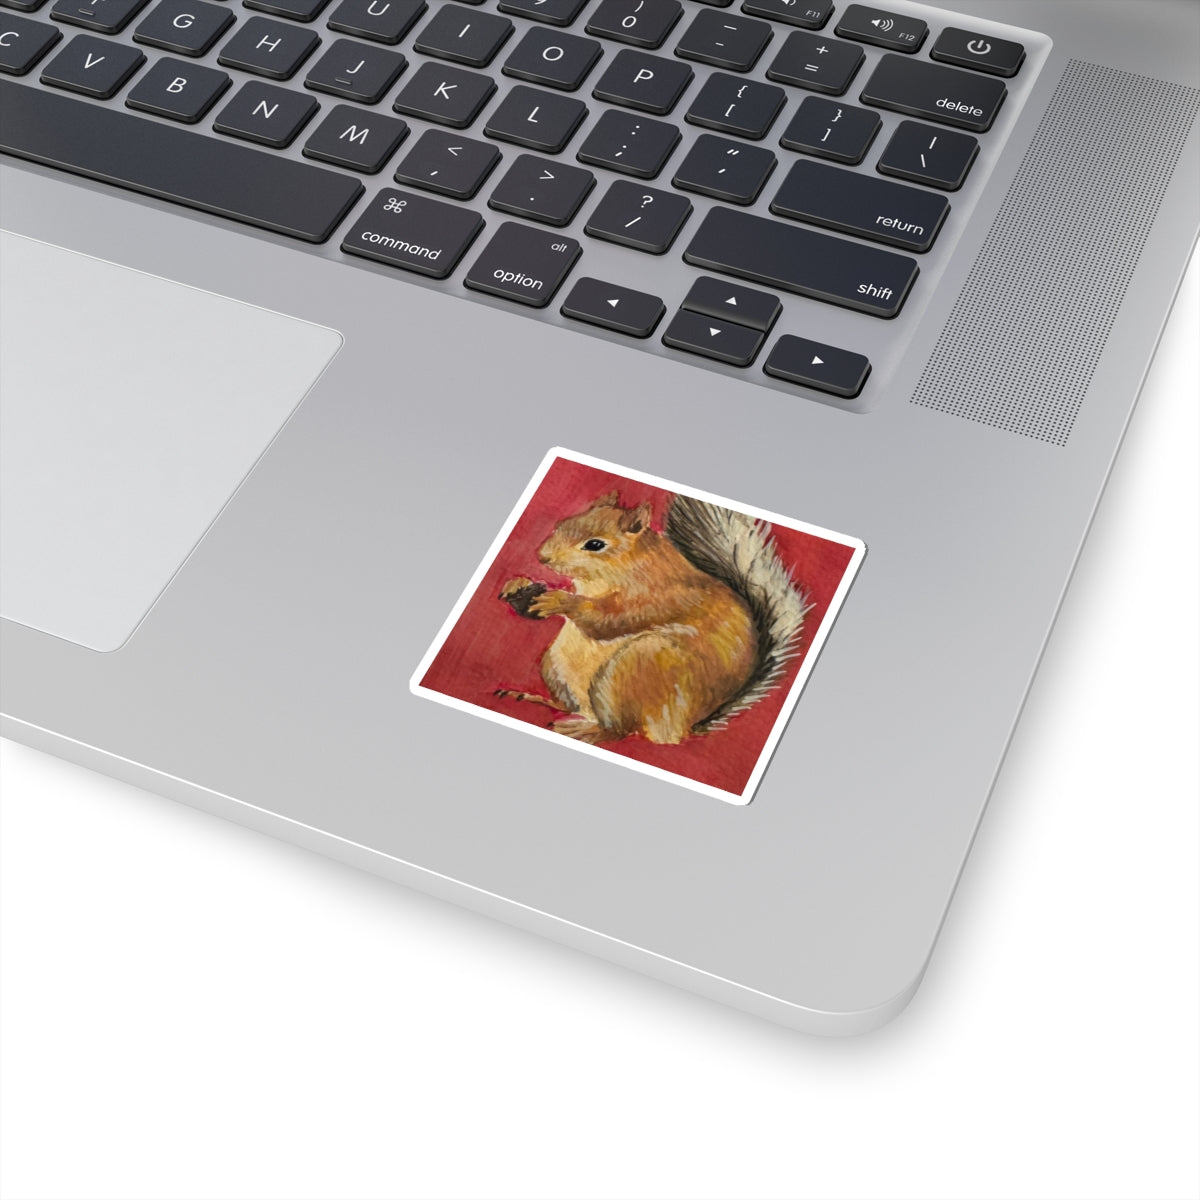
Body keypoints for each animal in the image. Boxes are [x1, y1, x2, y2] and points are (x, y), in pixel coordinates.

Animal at [496, 489, 810, 746]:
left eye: (595, 544)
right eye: (561, 524)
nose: (542, 557)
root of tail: (682, 728)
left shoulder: (657, 598)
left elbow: (609, 619)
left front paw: (560, 601)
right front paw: (516, 584)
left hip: (632, 667)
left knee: (619, 730)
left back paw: (586, 730)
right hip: (554, 664)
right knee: (571, 706)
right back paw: (533, 698)